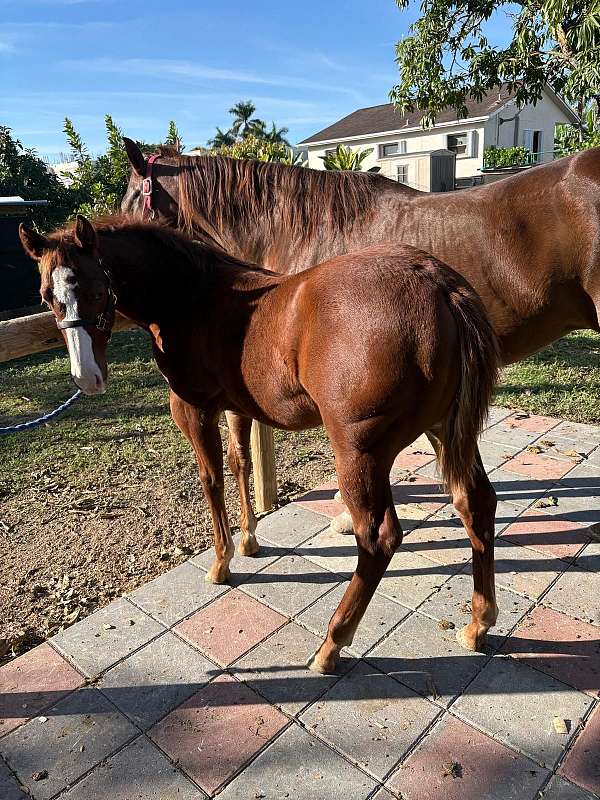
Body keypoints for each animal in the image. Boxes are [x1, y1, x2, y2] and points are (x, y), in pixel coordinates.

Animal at [19, 216, 496, 672]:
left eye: (98, 288)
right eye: (45, 295)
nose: (87, 378)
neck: (194, 296)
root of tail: (438, 285)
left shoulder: (193, 410)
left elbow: (210, 477)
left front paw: (221, 561)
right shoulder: (237, 406)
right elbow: (240, 462)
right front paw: (249, 539)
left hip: (360, 454)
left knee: (378, 539)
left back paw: (331, 644)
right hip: (445, 432)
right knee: (476, 504)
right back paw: (478, 622)